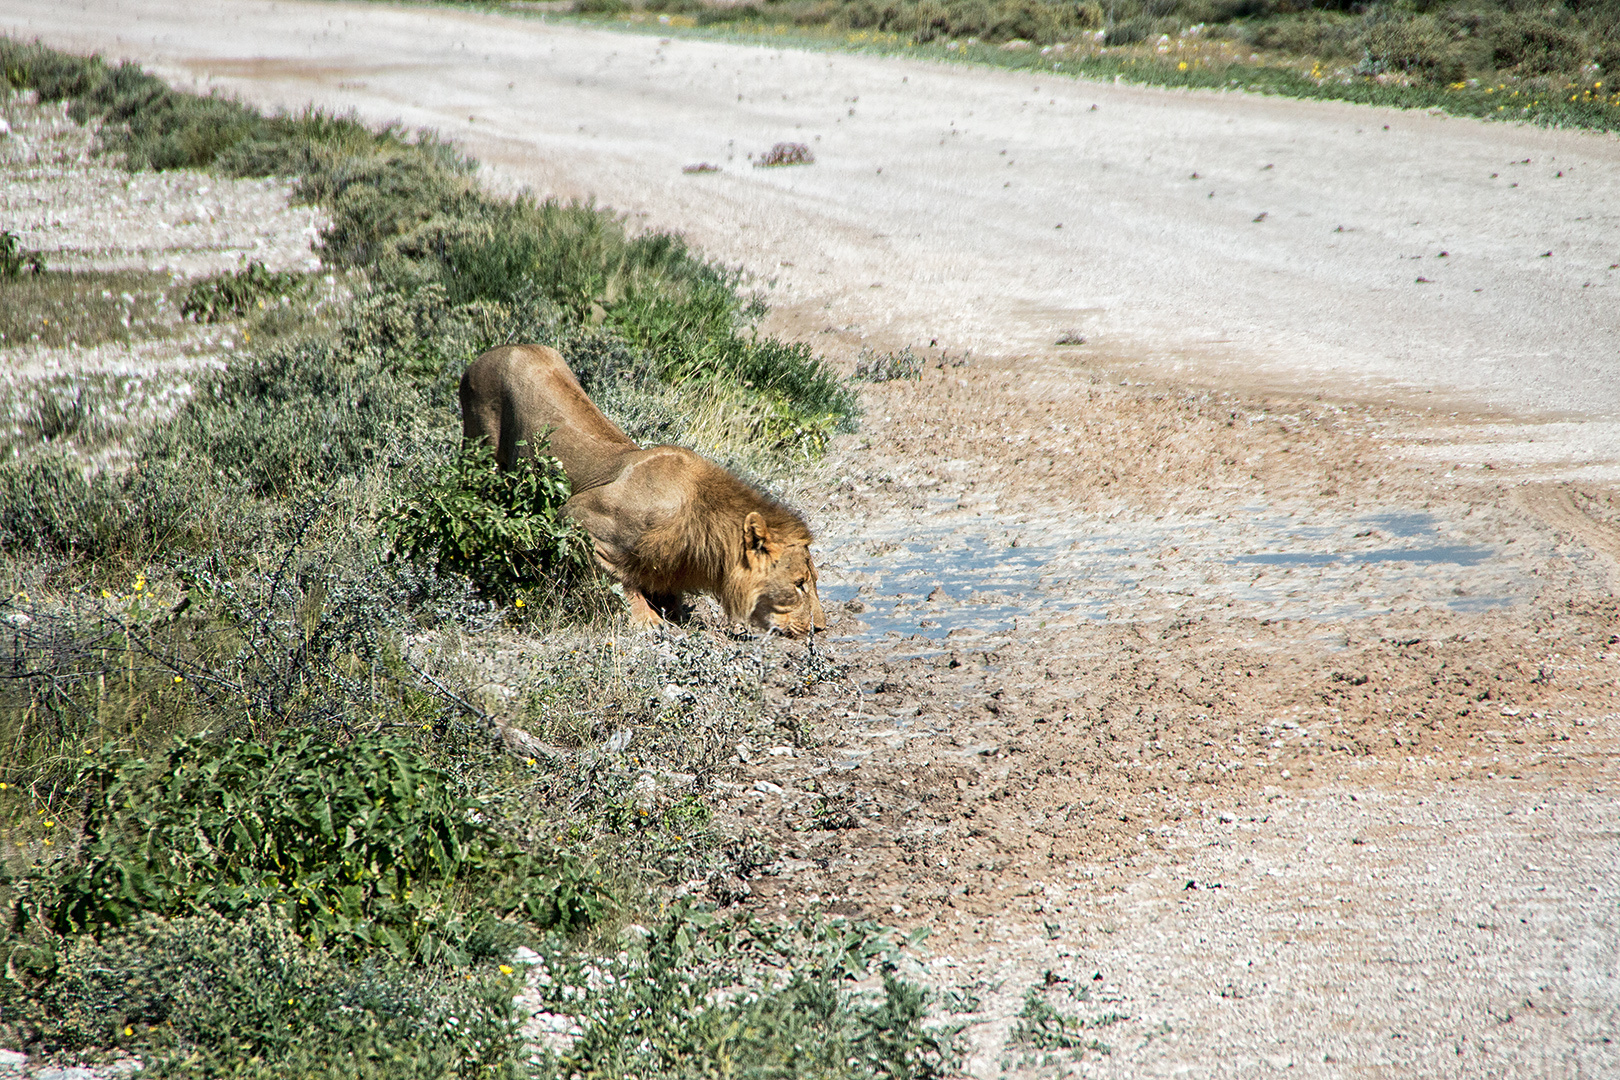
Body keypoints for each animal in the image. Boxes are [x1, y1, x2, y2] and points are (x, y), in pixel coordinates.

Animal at [463, 344, 829, 641]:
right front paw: (648, 621)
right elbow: (622, 581)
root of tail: (488, 354)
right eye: (799, 583)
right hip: (482, 449)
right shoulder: (579, 516)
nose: (821, 629)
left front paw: (676, 615)